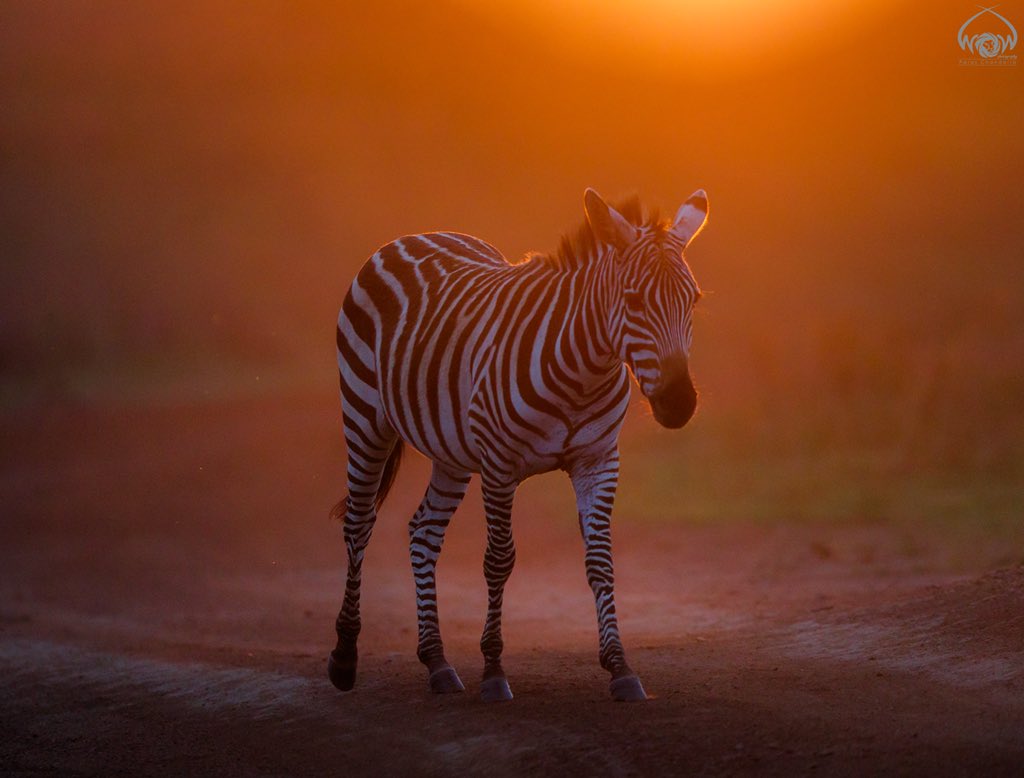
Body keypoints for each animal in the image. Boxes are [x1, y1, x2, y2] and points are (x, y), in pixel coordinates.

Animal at [329, 187, 709, 701]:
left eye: (693, 300)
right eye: (632, 300)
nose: (679, 404)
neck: (582, 375)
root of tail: (415, 235)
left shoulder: (598, 461)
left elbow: (600, 562)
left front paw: (620, 667)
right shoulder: (498, 463)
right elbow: (498, 561)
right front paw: (493, 671)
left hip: (450, 451)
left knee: (423, 531)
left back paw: (438, 663)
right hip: (365, 417)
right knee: (359, 524)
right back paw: (345, 657)